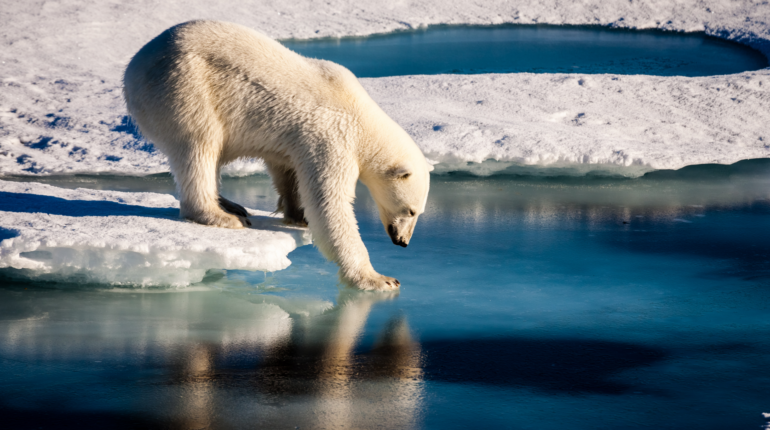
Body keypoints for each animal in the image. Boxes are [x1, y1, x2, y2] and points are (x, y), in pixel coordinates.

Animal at [123, 20, 432, 291]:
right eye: (411, 210)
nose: (403, 241)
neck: (361, 117)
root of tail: (134, 66)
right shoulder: (333, 138)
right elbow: (329, 203)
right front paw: (379, 279)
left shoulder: (297, 140)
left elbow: (287, 170)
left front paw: (298, 215)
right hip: (185, 87)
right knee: (199, 145)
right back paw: (222, 216)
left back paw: (231, 204)